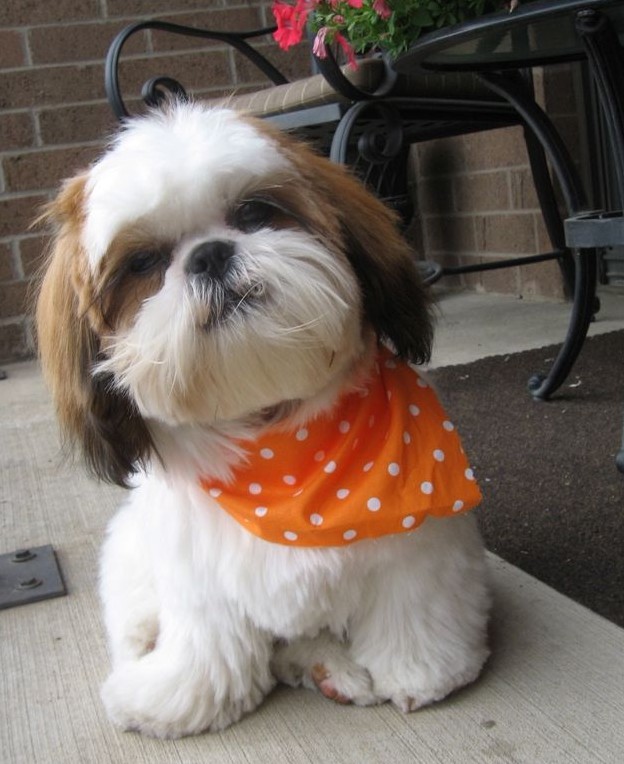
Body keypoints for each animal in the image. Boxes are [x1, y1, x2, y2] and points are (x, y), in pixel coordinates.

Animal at [36, 101, 490, 740]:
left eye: (254, 212)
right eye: (144, 262)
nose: (209, 254)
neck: (279, 445)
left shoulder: (418, 547)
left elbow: (413, 607)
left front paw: (422, 671)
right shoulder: (197, 576)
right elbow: (210, 643)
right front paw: (180, 698)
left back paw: (327, 665)